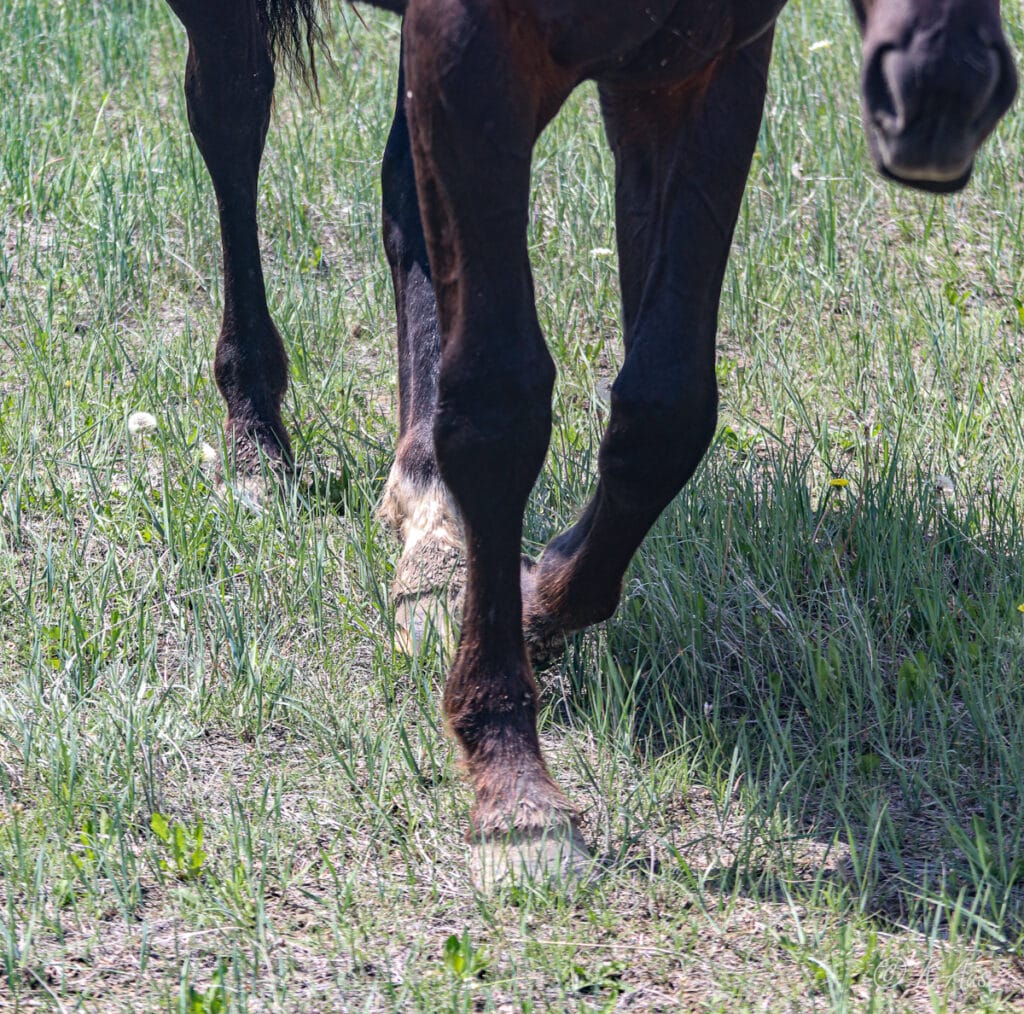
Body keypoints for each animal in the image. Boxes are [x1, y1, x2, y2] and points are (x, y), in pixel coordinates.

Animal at [163, 0, 1017, 880]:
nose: (943, 92)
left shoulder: (699, 72)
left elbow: (667, 411)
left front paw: (533, 600)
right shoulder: (474, 66)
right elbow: (499, 408)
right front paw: (513, 786)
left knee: (402, 197)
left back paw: (427, 517)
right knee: (232, 111)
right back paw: (256, 438)